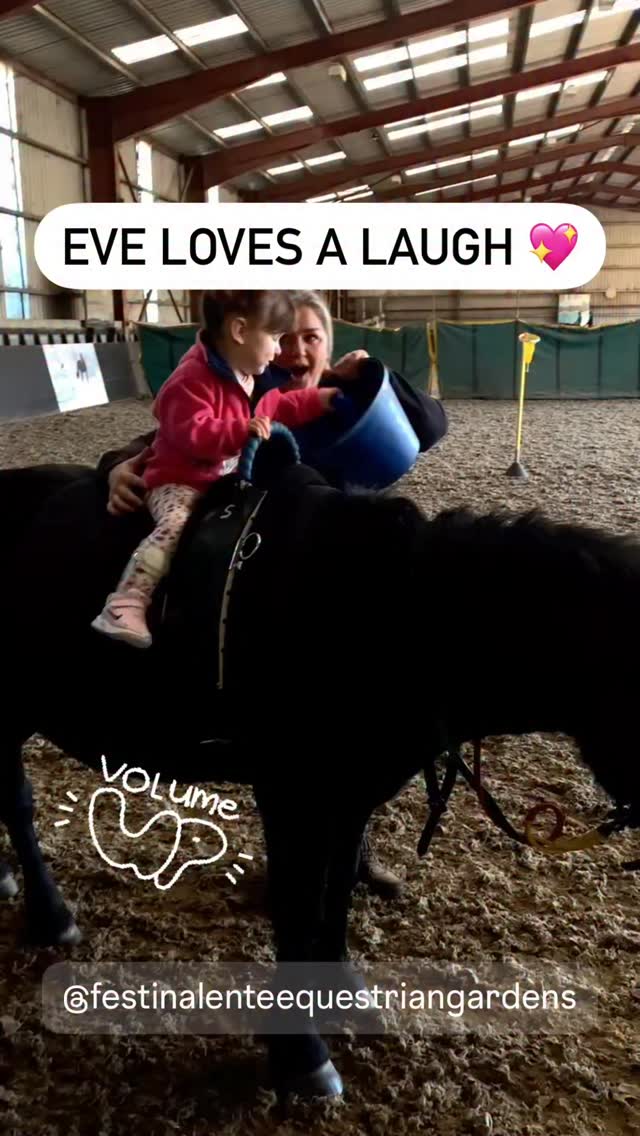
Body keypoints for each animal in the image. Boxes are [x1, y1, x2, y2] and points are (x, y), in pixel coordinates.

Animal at [0, 438, 638, 1102]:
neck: (389, 615)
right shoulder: (291, 794)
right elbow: (299, 904)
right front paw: (301, 1055)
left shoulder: (351, 792)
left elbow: (337, 890)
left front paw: (342, 993)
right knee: (16, 802)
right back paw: (50, 916)